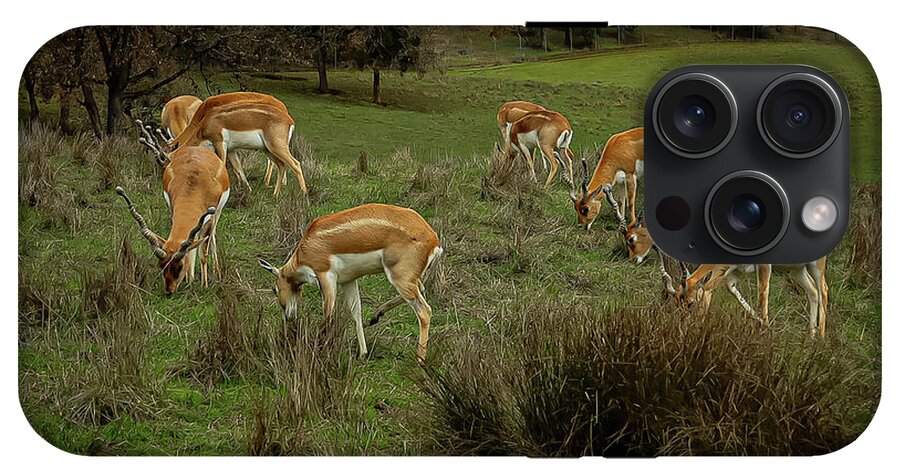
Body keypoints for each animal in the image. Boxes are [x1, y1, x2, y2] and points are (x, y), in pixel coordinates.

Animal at [117, 122, 230, 295]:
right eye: (162, 265)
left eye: (179, 266)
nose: (169, 291)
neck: (194, 185)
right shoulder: (173, 209)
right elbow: (190, 245)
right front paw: (189, 280)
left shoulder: (210, 217)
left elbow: (203, 251)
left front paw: (204, 285)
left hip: (217, 214)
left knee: (211, 238)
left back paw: (216, 271)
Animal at [168, 91, 306, 197]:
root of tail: (289, 119)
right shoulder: (231, 149)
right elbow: (238, 167)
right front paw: (246, 189)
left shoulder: (220, 144)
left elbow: (222, 166)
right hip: (267, 149)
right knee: (281, 164)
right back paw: (275, 194)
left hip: (276, 147)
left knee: (295, 164)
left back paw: (303, 195)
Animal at [258, 203, 443, 362]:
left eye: (274, 289)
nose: (288, 317)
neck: (307, 246)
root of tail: (433, 240)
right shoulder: (349, 280)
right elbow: (356, 312)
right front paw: (362, 353)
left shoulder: (326, 276)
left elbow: (329, 314)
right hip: (407, 279)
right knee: (421, 289)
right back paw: (375, 316)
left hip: (399, 278)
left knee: (424, 311)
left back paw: (420, 359)